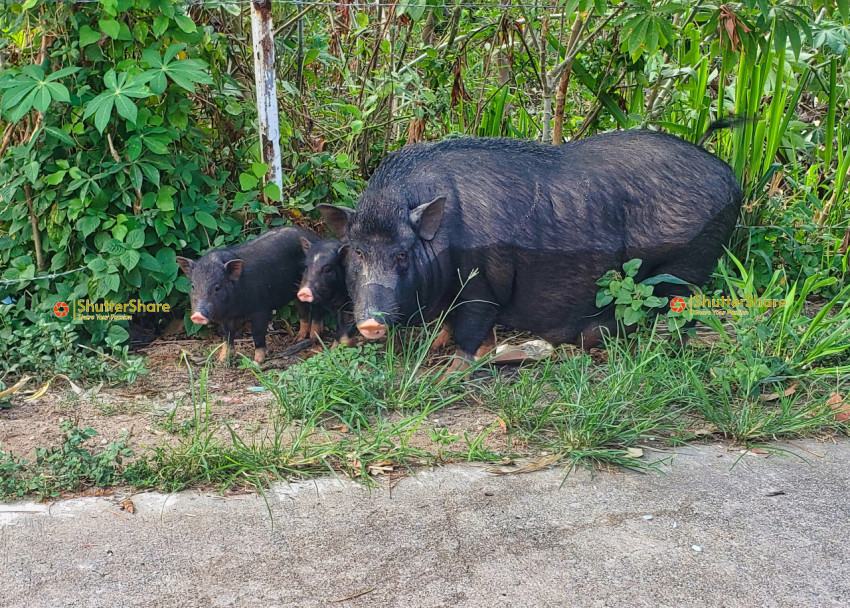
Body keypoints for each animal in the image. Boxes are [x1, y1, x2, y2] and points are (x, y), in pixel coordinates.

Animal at [176, 226, 318, 364]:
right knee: (302, 309)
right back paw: (297, 339)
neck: (235, 308)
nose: (197, 315)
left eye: (217, 287)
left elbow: (257, 332)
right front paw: (222, 360)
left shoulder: (261, 308)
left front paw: (257, 361)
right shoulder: (226, 317)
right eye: (193, 286)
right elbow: (227, 334)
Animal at [318, 123, 744, 360]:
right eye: (358, 252)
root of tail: (732, 178)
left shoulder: (482, 283)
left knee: (675, 311)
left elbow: (471, 330)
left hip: (688, 263)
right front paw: (435, 345)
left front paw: (452, 367)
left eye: (403, 255)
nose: (370, 323)